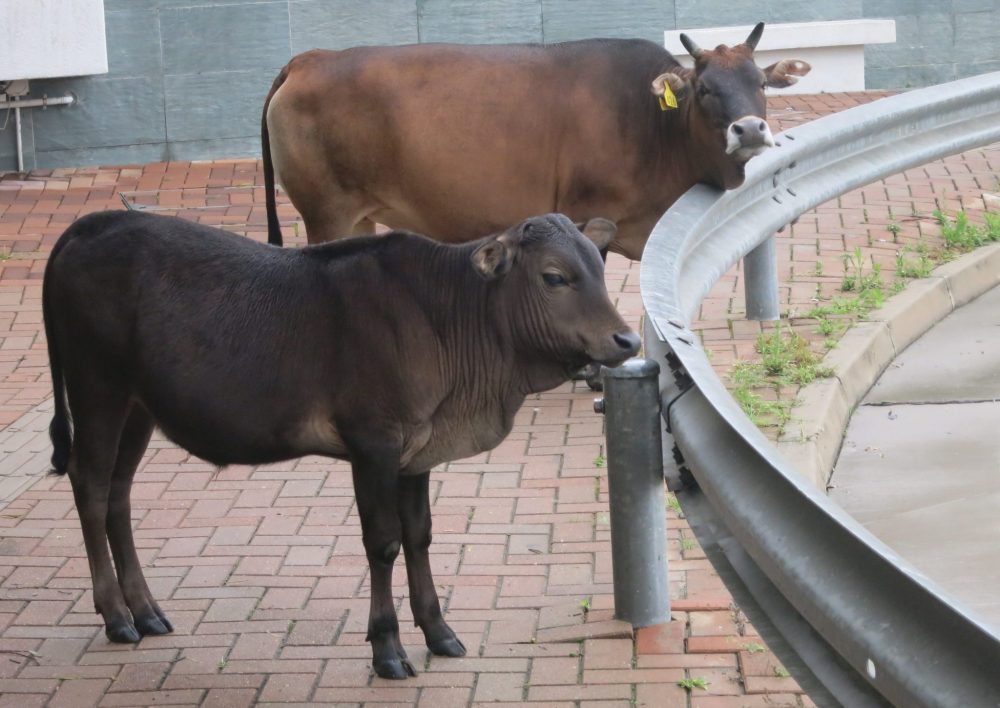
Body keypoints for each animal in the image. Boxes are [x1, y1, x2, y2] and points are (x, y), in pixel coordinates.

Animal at [43, 210, 636, 680]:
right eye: (555, 276)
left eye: (601, 267)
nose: (626, 339)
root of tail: (90, 224)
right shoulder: (373, 442)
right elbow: (384, 543)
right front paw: (388, 648)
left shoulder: (416, 449)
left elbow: (420, 535)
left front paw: (439, 631)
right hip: (97, 387)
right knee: (90, 486)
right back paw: (116, 615)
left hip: (138, 406)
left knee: (118, 494)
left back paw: (145, 609)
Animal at [266, 22, 812, 260]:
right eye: (703, 89)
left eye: (761, 84)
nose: (750, 129)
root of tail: (311, 58)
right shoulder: (589, 209)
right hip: (326, 214)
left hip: (357, 218)